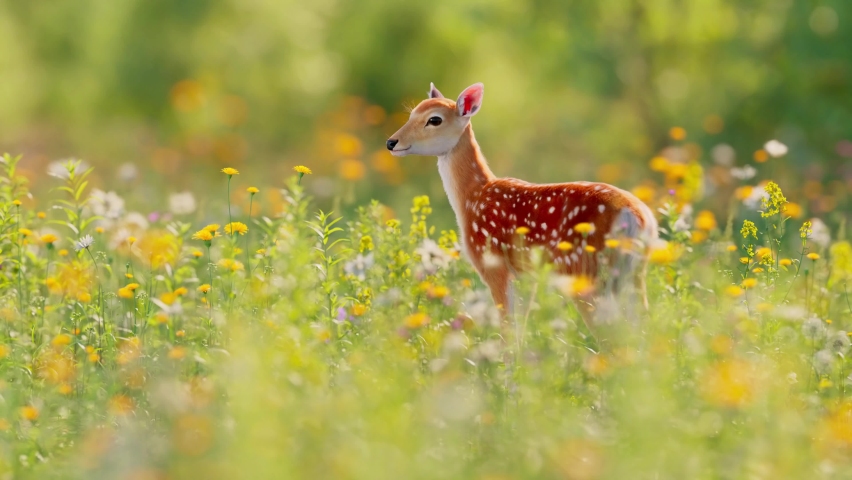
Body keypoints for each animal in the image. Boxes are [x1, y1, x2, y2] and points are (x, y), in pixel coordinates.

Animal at [387, 82, 658, 333]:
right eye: (411, 113)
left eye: (434, 119)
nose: (391, 142)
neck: (473, 197)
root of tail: (640, 218)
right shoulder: (525, 277)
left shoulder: (494, 264)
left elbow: (508, 331)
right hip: (632, 274)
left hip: (588, 272)